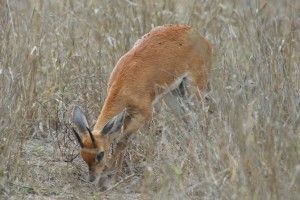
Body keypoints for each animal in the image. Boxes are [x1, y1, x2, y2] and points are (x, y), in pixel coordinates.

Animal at [71, 25, 212, 183]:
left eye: (100, 154)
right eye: (83, 154)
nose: (92, 178)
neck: (124, 84)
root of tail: (199, 36)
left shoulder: (145, 114)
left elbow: (122, 141)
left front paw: (109, 174)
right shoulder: (127, 114)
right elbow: (123, 141)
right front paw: (116, 173)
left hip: (195, 89)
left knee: (202, 118)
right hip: (173, 95)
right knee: (189, 121)